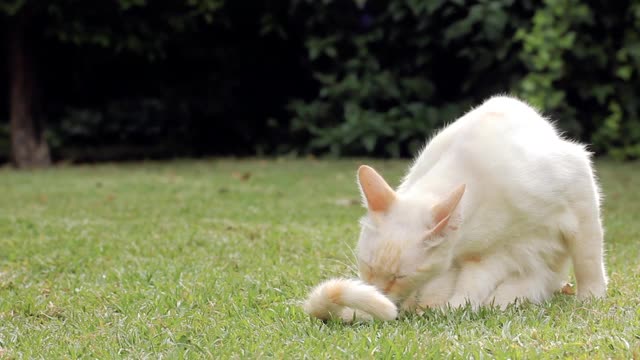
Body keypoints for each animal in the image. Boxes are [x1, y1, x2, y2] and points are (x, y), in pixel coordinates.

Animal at [308, 95, 608, 320]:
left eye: (400, 276)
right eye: (368, 267)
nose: (381, 294)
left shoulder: (579, 183)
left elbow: (589, 258)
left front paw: (592, 298)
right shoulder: (485, 255)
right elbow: (469, 287)